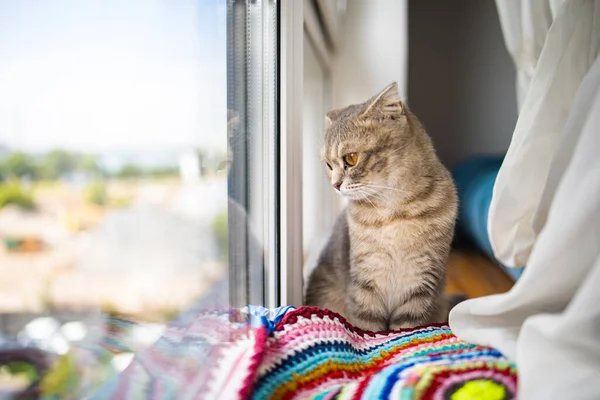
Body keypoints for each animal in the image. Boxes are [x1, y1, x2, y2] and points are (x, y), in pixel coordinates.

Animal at [304, 80, 460, 332]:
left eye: (350, 159)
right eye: (328, 164)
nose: (335, 185)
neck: (394, 212)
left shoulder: (420, 283)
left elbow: (405, 329)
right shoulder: (366, 282)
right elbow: (369, 328)